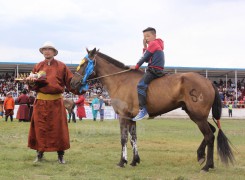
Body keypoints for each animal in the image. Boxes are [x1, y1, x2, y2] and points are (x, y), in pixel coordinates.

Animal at [69, 48, 234, 172]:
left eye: (84, 64)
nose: (72, 82)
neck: (120, 80)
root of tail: (207, 81)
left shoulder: (123, 117)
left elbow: (123, 138)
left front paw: (122, 161)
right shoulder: (131, 118)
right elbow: (133, 138)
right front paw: (135, 160)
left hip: (198, 116)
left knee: (209, 136)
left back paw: (206, 165)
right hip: (196, 115)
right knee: (212, 131)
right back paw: (204, 158)